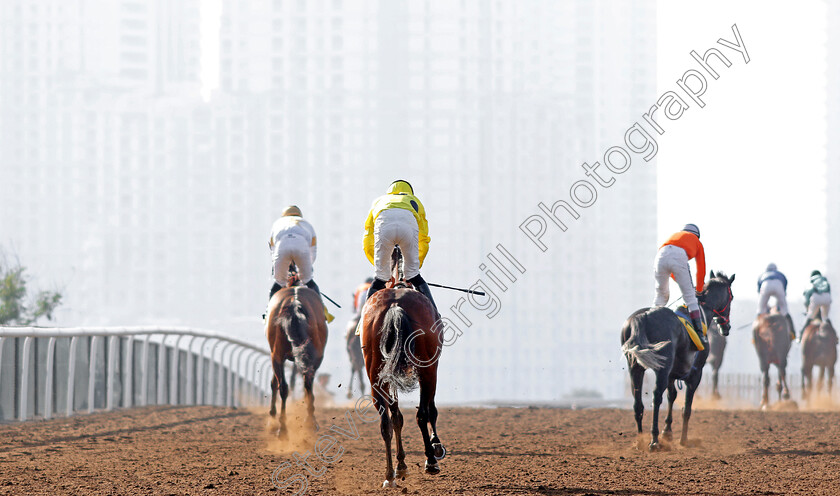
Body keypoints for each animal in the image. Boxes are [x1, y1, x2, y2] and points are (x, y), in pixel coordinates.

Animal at [266, 266, 328, 436]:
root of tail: (294, 303)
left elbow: (277, 382)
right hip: (314, 354)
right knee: (306, 381)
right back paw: (308, 422)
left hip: (278, 354)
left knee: (284, 386)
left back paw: (283, 428)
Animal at [360, 246, 446, 486]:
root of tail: (396, 305)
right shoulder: (433, 368)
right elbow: (430, 409)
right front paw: (436, 447)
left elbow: (396, 416)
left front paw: (401, 465)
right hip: (427, 369)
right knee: (423, 413)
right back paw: (430, 461)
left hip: (375, 373)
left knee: (385, 422)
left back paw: (390, 475)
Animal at [620, 272, 732, 450]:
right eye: (731, 297)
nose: (726, 327)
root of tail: (643, 316)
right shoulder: (695, 373)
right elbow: (687, 407)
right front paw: (683, 439)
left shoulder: (672, 374)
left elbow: (671, 396)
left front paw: (668, 432)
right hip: (662, 367)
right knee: (656, 396)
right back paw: (654, 440)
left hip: (635, 367)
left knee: (637, 400)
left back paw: (640, 441)